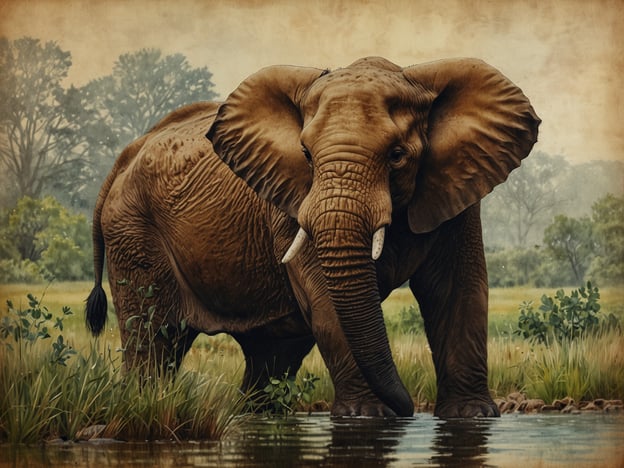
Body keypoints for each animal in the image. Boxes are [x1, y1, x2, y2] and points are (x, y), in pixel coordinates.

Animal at [85, 56, 540, 418]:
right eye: (305, 155)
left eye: (397, 156)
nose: (409, 408)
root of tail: (125, 155)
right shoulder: (289, 199)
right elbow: (324, 296)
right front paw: (367, 417)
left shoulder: (454, 187)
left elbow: (456, 289)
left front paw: (472, 416)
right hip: (132, 231)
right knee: (154, 341)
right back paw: (144, 402)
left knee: (270, 357)